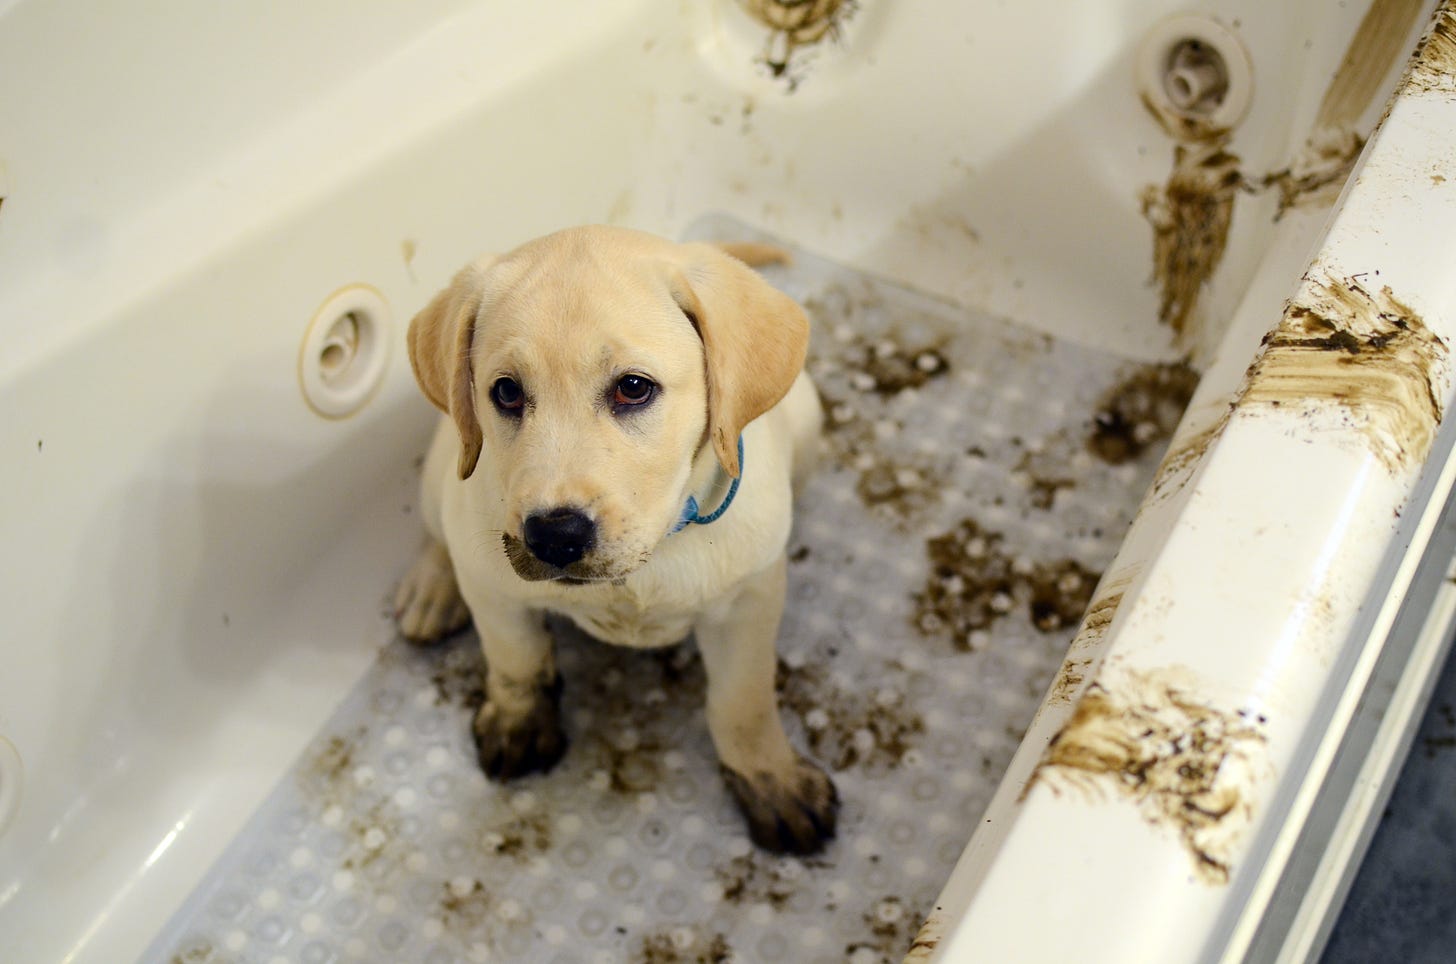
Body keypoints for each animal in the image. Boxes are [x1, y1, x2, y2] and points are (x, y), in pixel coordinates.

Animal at [393, 224, 838, 856]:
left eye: (633, 388)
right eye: (505, 392)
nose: (554, 536)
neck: (649, 560)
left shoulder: (747, 605)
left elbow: (743, 703)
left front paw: (772, 781)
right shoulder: (494, 587)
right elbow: (515, 658)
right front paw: (518, 722)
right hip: (445, 470)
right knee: (440, 532)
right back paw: (433, 589)